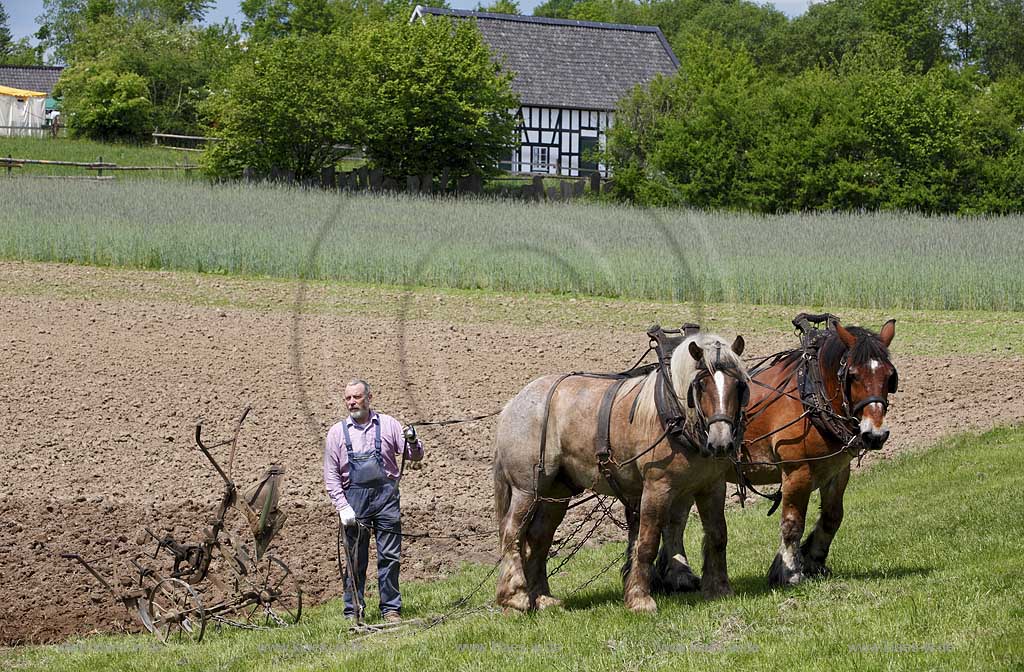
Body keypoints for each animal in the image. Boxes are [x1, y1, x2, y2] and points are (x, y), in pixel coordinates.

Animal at [491, 329, 749, 614]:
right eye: (701, 385)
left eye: (738, 385)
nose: (721, 443)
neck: (675, 417)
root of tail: (513, 404)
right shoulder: (657, 487)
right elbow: (647, 543)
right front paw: (640, 599)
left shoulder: (711, 485)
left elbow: (717, 534)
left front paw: (719, 589)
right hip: (527, 489)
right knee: (512, 533)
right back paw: (515, 596)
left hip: (556, 492)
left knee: (539, 538)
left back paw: (544, 598)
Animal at [663, 311, 897, 585]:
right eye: (853, 375)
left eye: (889, 376)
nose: (875, 435)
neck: (811, 397)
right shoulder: (797, 471)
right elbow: (792, 522)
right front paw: (790, 571)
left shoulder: (838, 470)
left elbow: (832, 516)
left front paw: (814, 560)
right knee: (673, 521)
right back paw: (678, 575)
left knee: (675, 520)